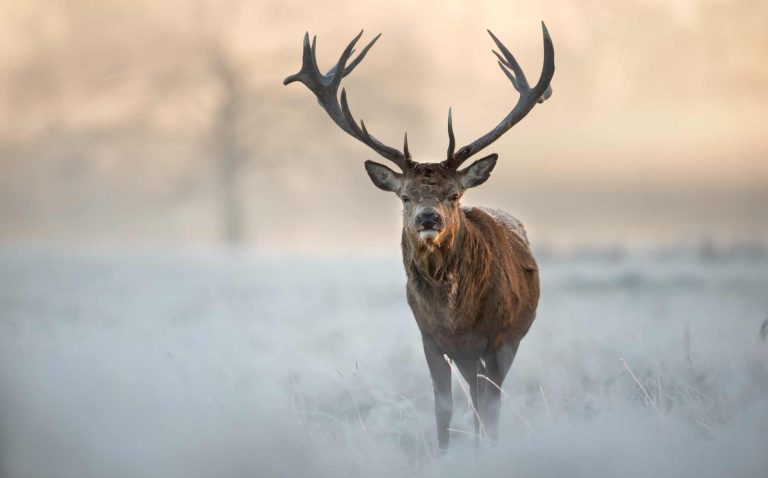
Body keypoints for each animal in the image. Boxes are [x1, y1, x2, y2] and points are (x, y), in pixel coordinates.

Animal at [284, 23, 554, 453]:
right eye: (405, 196)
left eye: (454, 194)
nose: (429, 217)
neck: (456, 317)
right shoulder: (430, 337)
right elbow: (443, 407)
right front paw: (444, 455)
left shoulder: (498, 337)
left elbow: (490, 407)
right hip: (466, 355)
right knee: (474, 397)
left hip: (510, 337)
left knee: (485, 400)